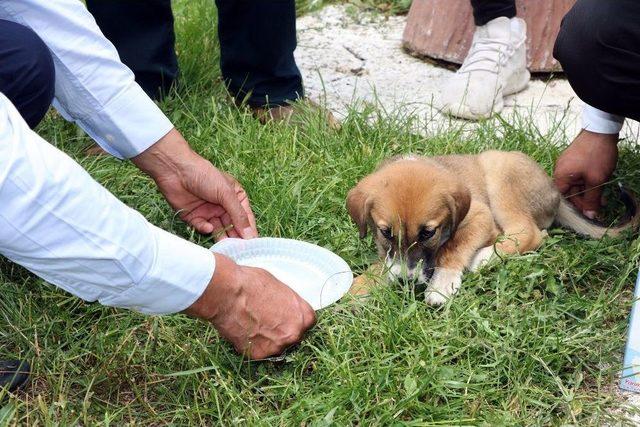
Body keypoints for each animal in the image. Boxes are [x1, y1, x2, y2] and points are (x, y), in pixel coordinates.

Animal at [350, 152, 640, 306]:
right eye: (385, 233)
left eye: (428, 233)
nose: (406, 282)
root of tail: (556, 194)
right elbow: (383, 262)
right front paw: (360, 286)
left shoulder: (480, 216)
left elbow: (454, 246)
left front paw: (442, 283)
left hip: (500, 173)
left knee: (530, 232)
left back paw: (485, 256)